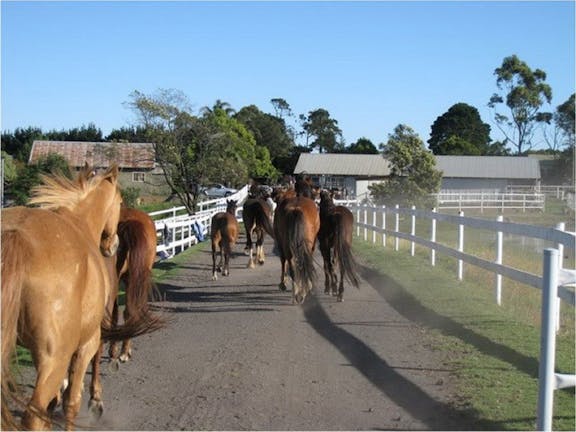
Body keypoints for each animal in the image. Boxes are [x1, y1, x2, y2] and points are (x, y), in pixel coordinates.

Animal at [1, 165, 124, 428]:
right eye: (120, 201)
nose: (113, 245)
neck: (80, 223)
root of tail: (17, 237)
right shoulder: (87, 343)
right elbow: (71, 402)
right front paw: (95, 401)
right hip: (55, 360)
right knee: (34, 415)